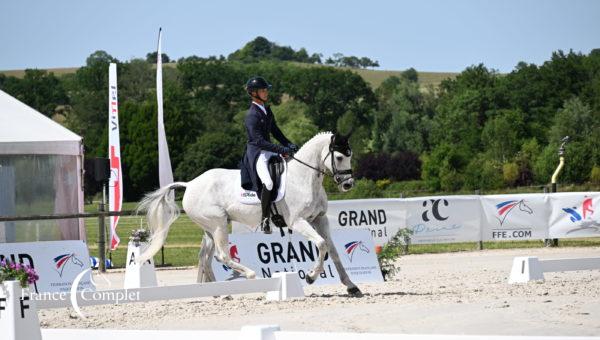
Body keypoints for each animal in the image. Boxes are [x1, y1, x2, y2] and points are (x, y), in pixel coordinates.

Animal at [136, 131, 360, 296]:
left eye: (351, 155)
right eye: (339, 157)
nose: (348, 184)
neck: (303, 178)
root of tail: (190, 184)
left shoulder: (319, 219)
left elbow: (333, 250)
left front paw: (351, 286)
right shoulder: (297, 221)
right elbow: (321, 245)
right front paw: (311, 276)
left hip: (211, 228)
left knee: (206, 258)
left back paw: (222, 293)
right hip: (218, 224)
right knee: (221, 256)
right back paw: (254, 278)